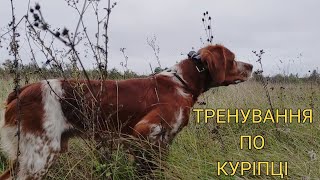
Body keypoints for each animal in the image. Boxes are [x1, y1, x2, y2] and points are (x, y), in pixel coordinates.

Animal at [0, 44, 252, 179]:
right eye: (232, 58)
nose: (250, 66)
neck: (182, 83)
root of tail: (21, 91)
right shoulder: (145, 132)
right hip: (39, 156)